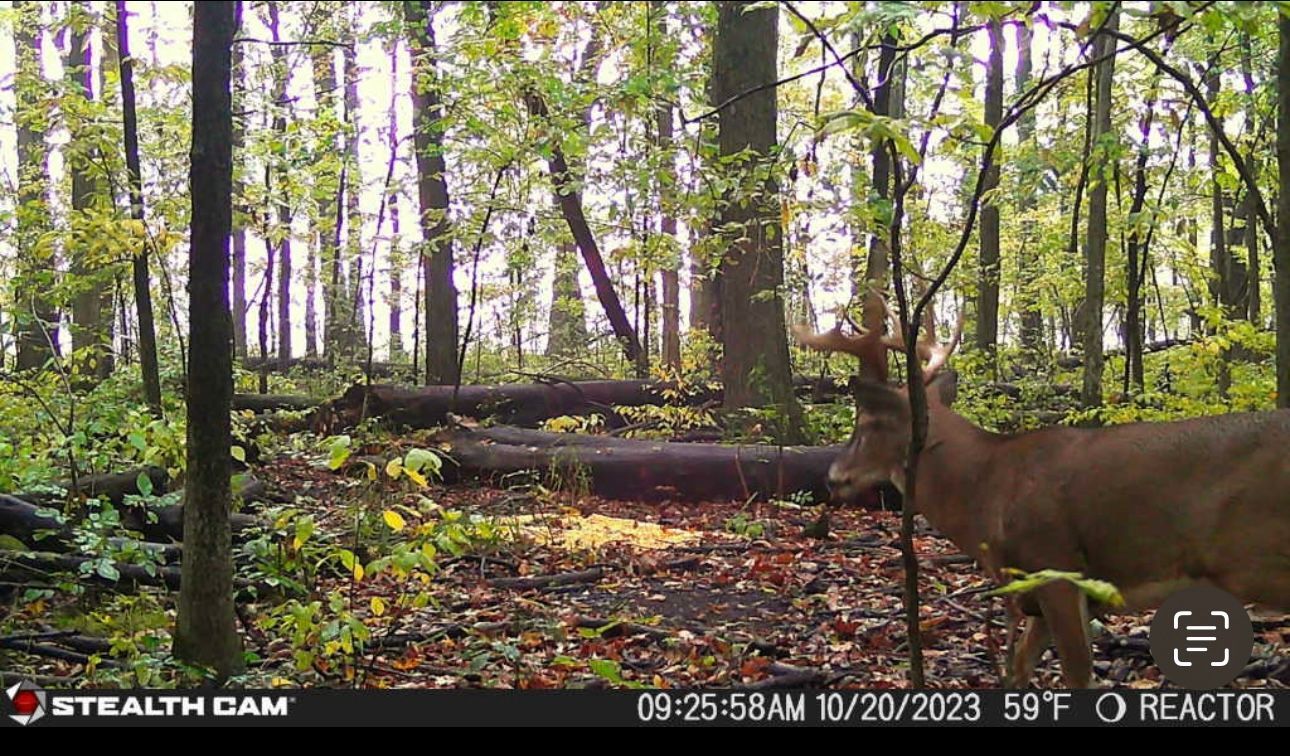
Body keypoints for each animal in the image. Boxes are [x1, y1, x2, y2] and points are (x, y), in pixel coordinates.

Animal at [793, 292, 1290, 688]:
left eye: (866, 423)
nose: (833, 475)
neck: (986, 490)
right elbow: (1018, 669)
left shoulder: (1057, 566)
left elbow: (1077, 675)